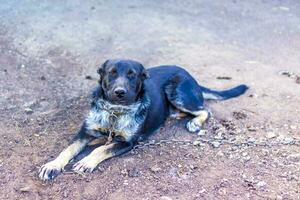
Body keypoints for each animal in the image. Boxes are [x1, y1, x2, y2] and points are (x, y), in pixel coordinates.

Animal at [38, 59, 248, 180]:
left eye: (132, 75)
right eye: (111, 73)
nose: (120, 92)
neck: (115, 111)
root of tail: (190, 75)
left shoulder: (127, 142)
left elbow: (102, 149)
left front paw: (86, 161)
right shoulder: (84, 132)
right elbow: (67, 150)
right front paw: (52, 165)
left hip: (177, 91)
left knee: (204, 110)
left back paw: (194, 122)